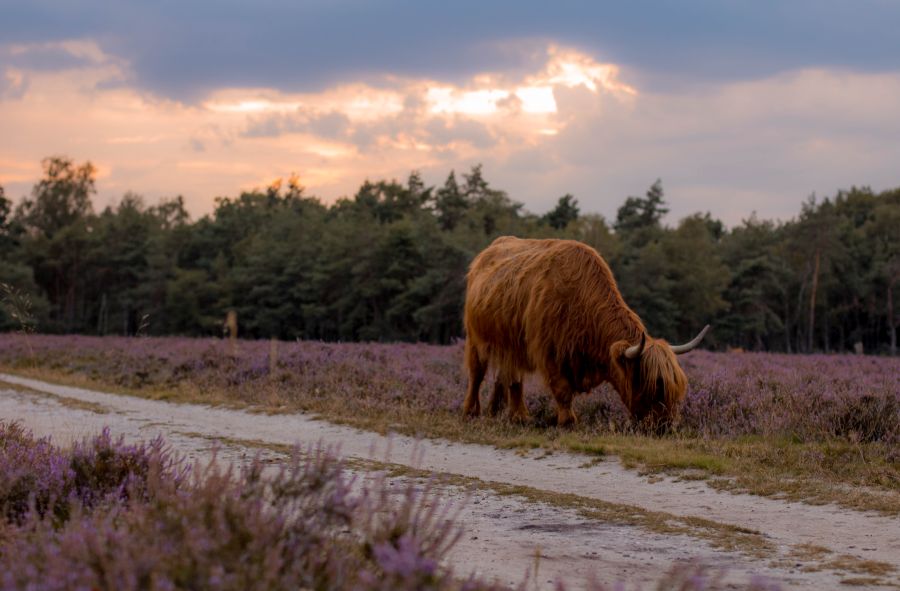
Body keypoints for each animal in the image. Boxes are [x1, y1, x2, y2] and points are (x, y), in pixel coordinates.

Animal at [464, 237, 712, 430]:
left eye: (674, 387)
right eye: (654, 385)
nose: (665, 426)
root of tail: (488, 251)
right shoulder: (549, 351)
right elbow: (563, 389)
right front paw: (568, 421)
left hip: (511, 345)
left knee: (510, 377)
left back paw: (513, 415)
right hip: (475, 338)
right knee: (477, 374)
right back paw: (472, 411)